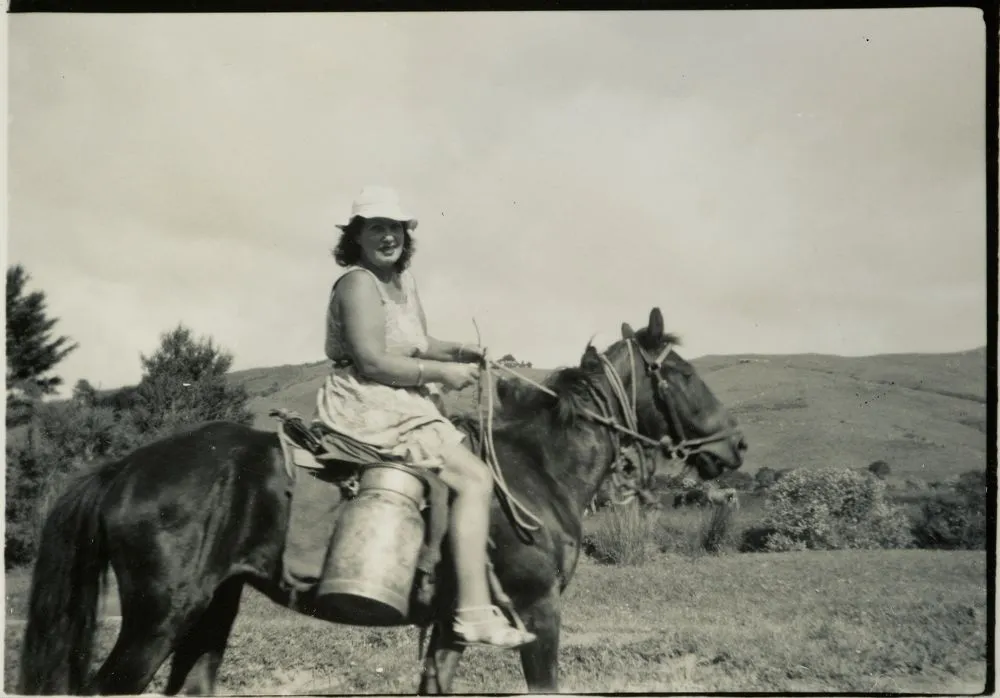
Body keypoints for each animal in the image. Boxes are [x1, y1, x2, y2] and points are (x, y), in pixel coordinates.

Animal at [19, 308, 748, 692]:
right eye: (684, 374)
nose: (736, 446)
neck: (537, 469)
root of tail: (124, 468)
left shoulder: (450, 626)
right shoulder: (540, 615)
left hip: (210, 609)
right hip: (156, 619)